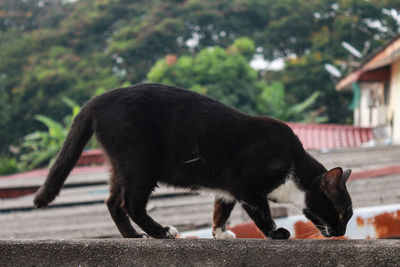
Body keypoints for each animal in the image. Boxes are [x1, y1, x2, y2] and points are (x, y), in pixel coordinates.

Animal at [34, 82, 354, 240]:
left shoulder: (229, 189)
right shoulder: (247, 184)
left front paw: (220, 234)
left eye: (349, 217)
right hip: (141, 162)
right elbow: (261, 212)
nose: (340, 233)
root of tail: (96, 100)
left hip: (121, 164)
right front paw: (276, 233)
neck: (293, 173)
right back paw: (161, 232)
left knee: (113, 201)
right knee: (131, 202)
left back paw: (133, 236)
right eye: (342, 213)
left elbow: (221, 209)